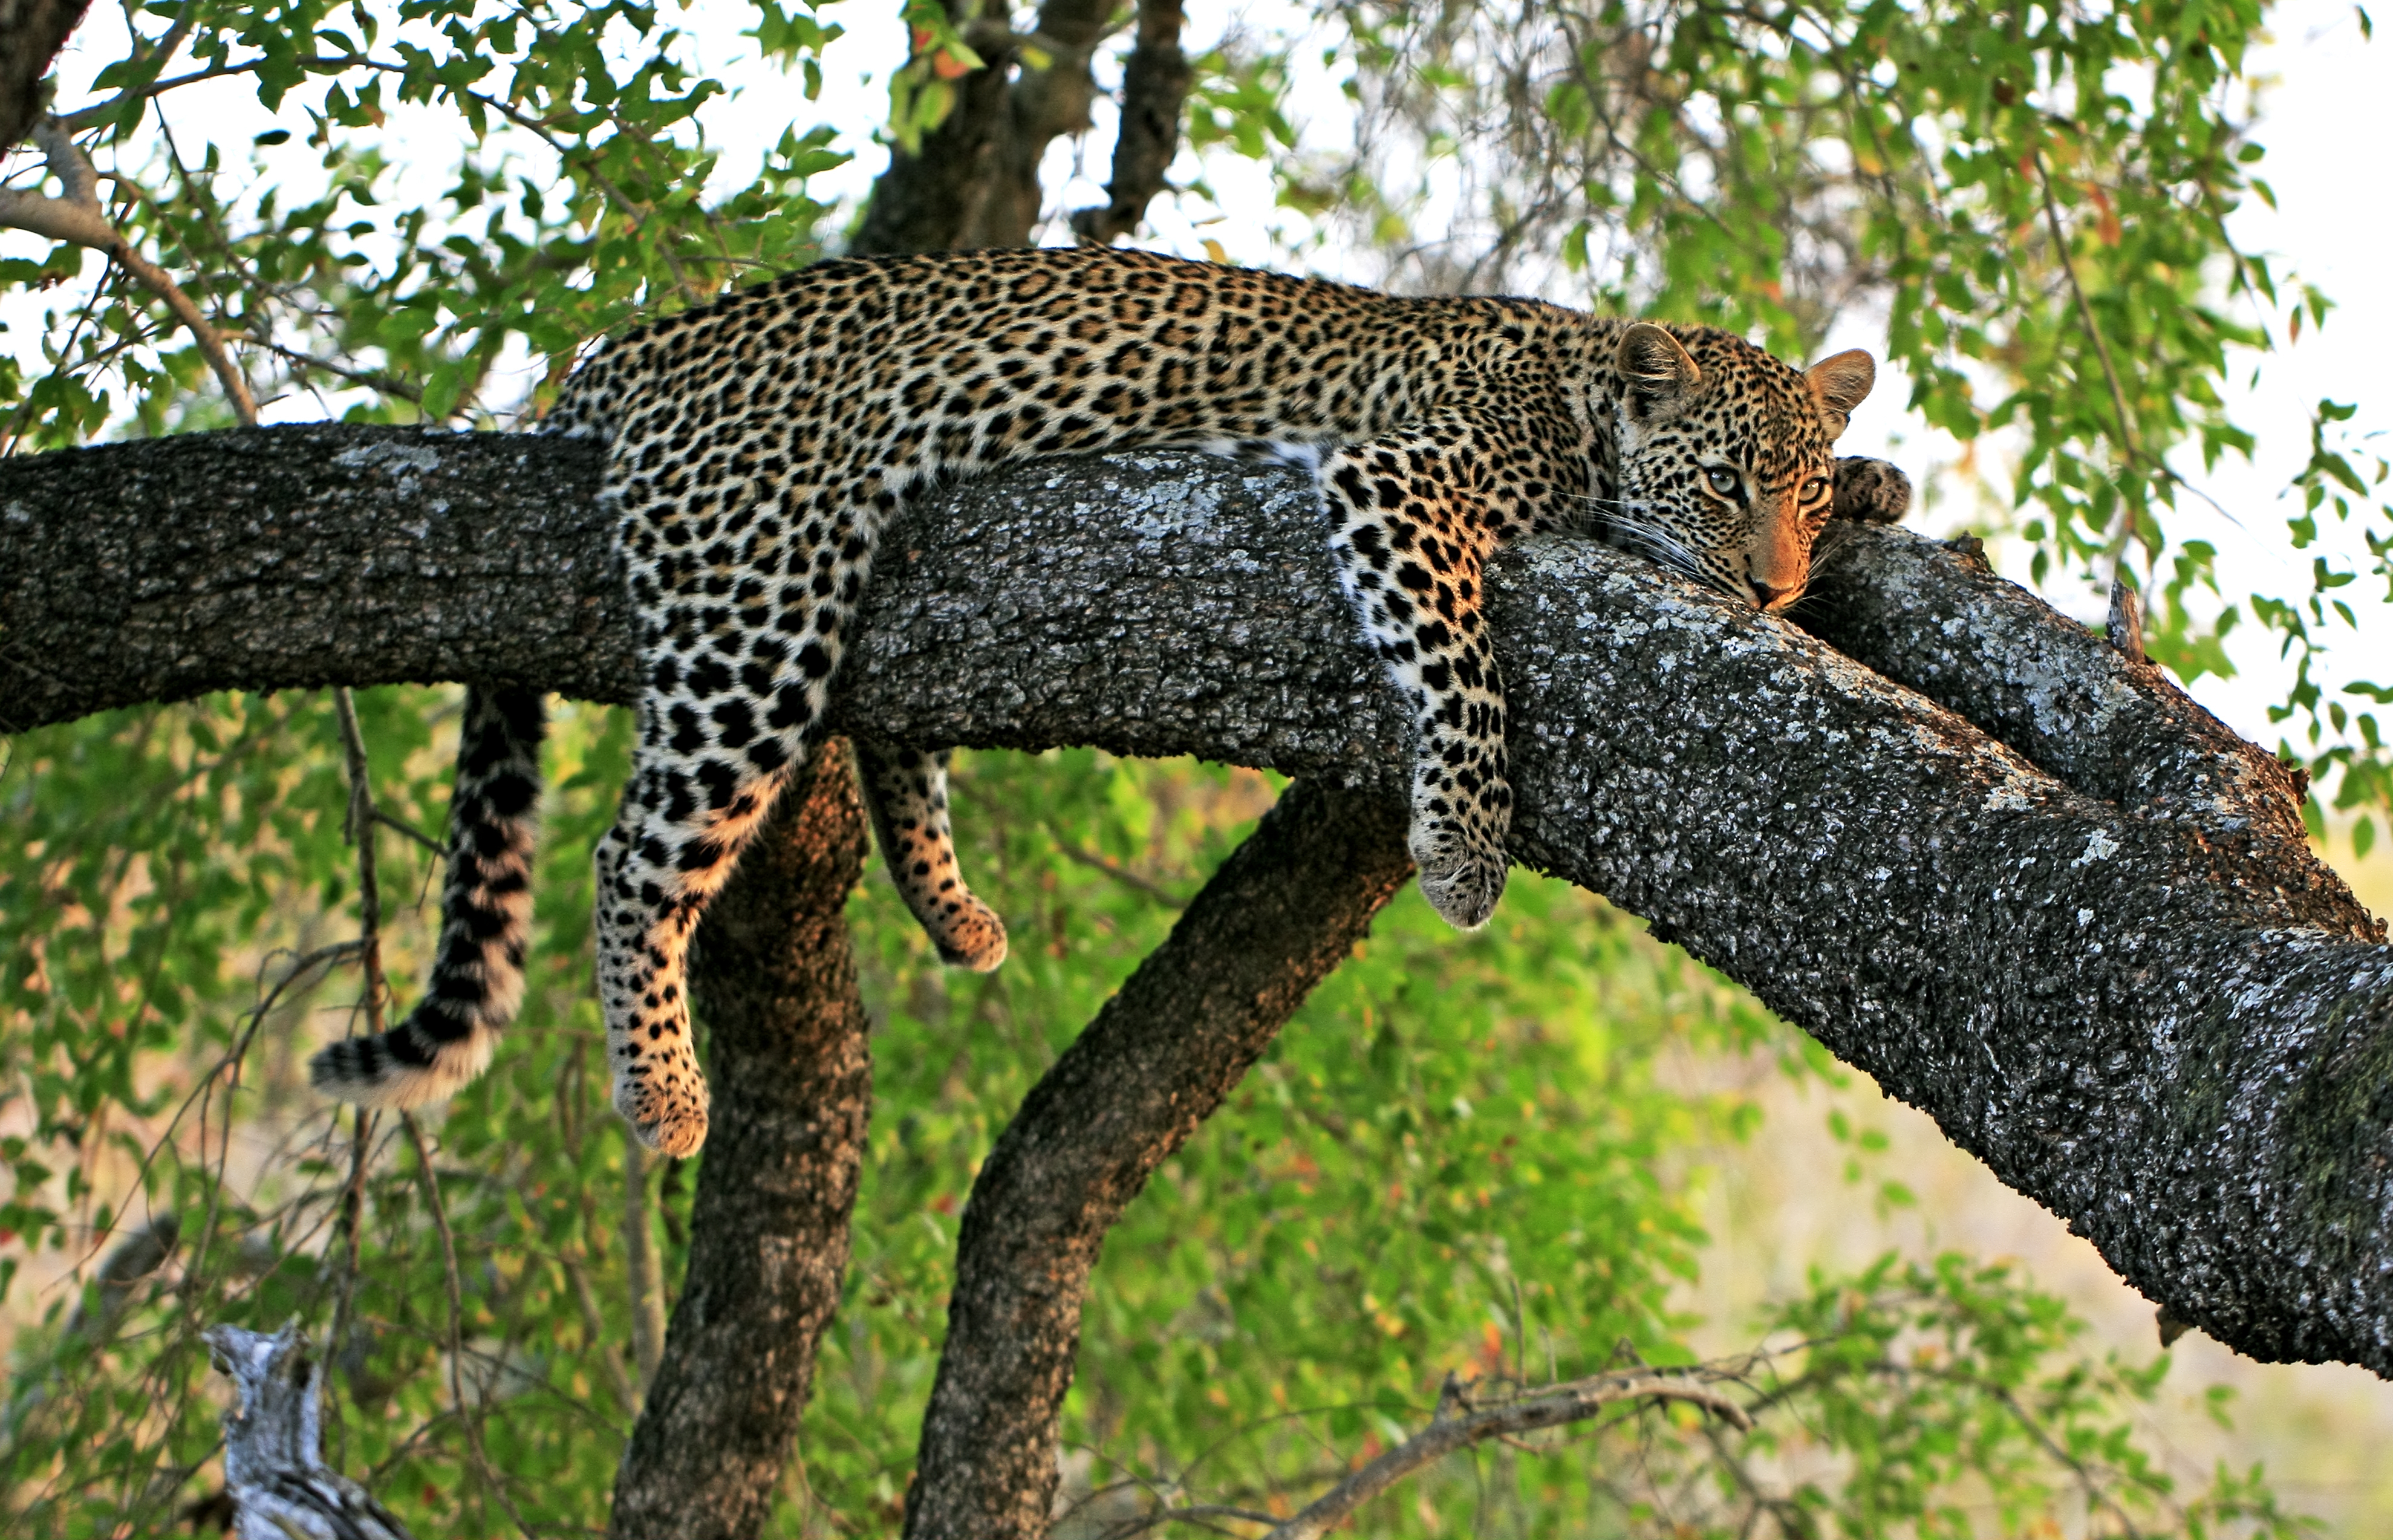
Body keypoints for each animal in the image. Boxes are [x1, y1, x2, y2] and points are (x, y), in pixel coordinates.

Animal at [308, 244, 1911, 1157]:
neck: (1579, 384)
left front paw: (1882, 479)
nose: (1772, 590)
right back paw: (662, 1091)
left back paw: (953, 910)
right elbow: (1464, 670)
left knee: (885, 729)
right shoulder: (1396, 484)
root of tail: (635, 344)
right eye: (1723, 484)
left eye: (1794, 493)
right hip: (757, 591)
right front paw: (1463, 846)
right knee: (634, 852)